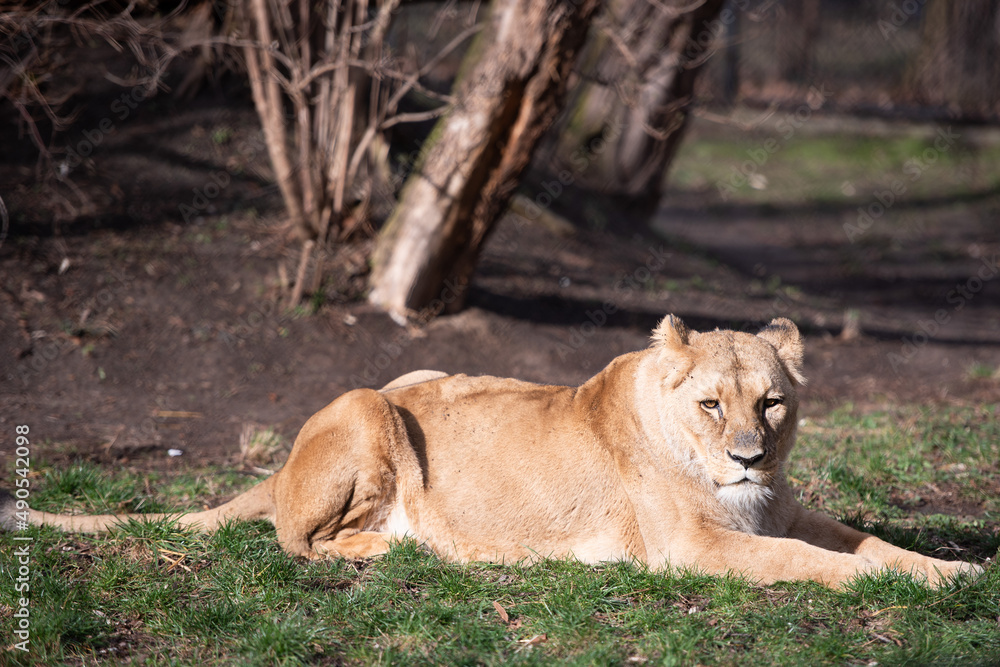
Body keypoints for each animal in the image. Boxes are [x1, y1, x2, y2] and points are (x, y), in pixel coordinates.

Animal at [1, 316, 984, 588]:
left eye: (772, 403)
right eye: (711, 403)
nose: (748, 457)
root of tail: (281, 460)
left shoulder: (788, 505)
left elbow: (870, 539)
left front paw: (951, 571)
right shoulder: (692, 547)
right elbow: (803, 561)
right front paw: (889, 579)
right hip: (371, 402)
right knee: (295, 536)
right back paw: (397, 544)